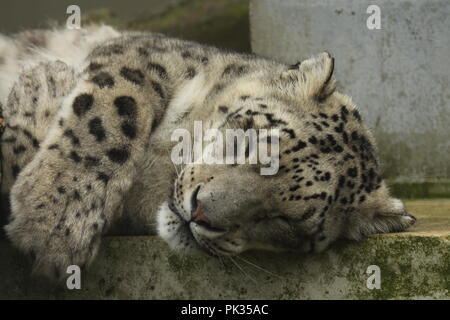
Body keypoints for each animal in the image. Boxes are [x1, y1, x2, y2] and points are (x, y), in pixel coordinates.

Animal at [0, 25, 414, 280]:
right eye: (247, 142)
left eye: (284, 220)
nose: (200, 212)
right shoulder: (146, 54)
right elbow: (112, 108)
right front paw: (54, 223)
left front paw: (41, 83)